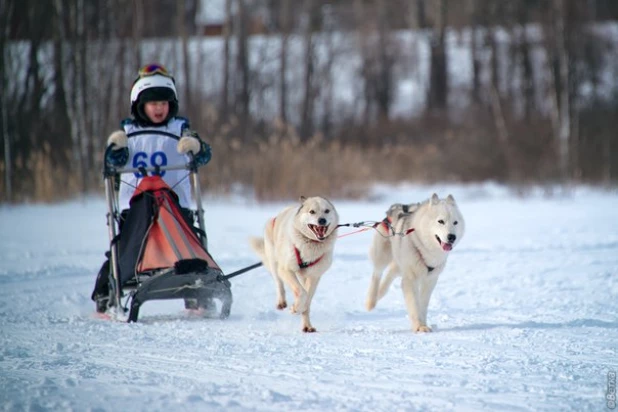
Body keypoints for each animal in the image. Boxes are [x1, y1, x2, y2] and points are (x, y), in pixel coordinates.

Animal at [248, 196, 340, 332]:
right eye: (312, 212)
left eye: (327, 211)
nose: (322, 220)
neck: (310, 245)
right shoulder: (286, 269)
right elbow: (301, 293)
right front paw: (295, 308)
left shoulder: (314, 276)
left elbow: (307, 300)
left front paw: (305, 322)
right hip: (274, 262)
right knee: (279, 283)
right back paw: (281, 302)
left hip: (302, 276)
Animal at [360, 195, 462, 334]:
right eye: (441, 221)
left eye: (455, 222)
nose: (452, 237)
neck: (425, 249)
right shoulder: (410, 279)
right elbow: (414, 304)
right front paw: (418, 326)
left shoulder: (430, 280)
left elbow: (423, 305)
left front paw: (423, 324)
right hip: (382, 256)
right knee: (377, 273)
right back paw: (371, 301)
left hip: (399, 264)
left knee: (390, 272)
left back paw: (380, 293)